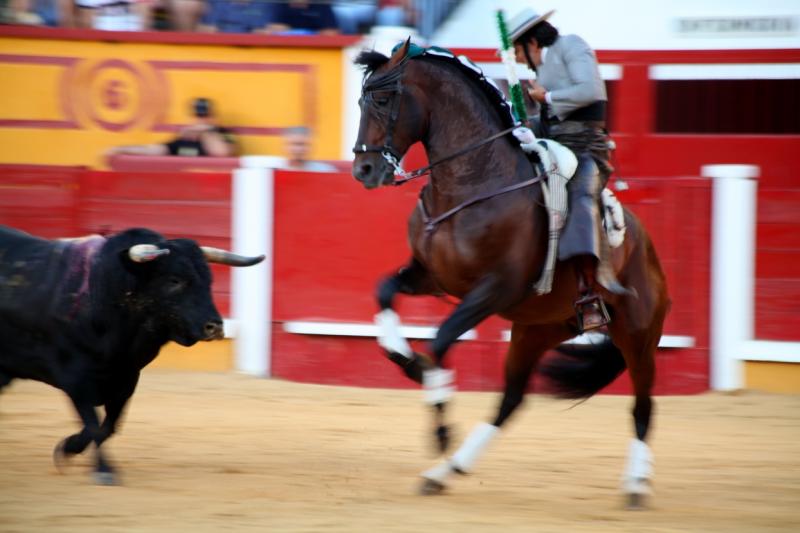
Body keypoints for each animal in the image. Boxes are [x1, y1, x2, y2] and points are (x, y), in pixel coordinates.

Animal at [0, 224, 264, 482]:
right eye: (174, 280)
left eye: (209, 280)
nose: (215, 327)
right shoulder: (76, 378)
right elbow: (93, 423)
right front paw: (104, 470)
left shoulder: (126, 379)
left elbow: (109, 426)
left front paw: (68, 447)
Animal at [350, 38, 668, 508]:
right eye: (360, 101)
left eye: (385, 99)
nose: (364, 171)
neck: (473, 180)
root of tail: (647, 248)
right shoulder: (431, 275)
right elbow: (383, 292)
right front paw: (408, 362)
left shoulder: (494, 289)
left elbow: (441, 339)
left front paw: (438, 420)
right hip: (535, 331)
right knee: (511, 400)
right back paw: (444, 472)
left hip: (638, 334)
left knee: (643, 405)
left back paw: (636, 485)